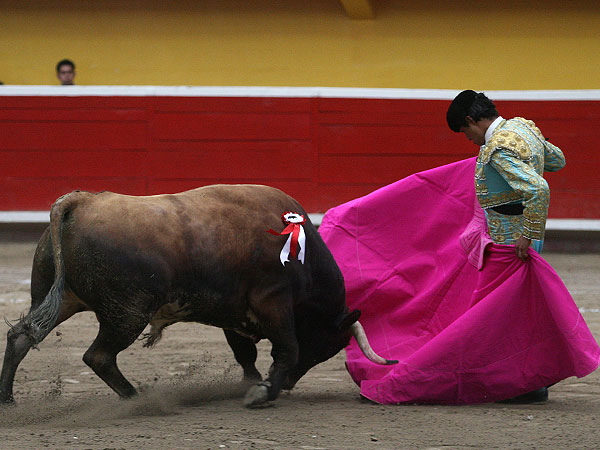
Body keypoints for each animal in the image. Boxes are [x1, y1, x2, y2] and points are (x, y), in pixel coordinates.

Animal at [0, 186, 394, 408]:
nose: (290, 385)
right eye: (326, 346)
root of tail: (81, 202)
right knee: (98, 356)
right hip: (127, 312)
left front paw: (252, 384)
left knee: (21, 335)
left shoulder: (237, 313)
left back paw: (7, 398)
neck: (303, 256)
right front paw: (262, 392)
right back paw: (137, 398)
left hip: (59, 298)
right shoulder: (272, 301)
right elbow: (287, 349)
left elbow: (245, 353)